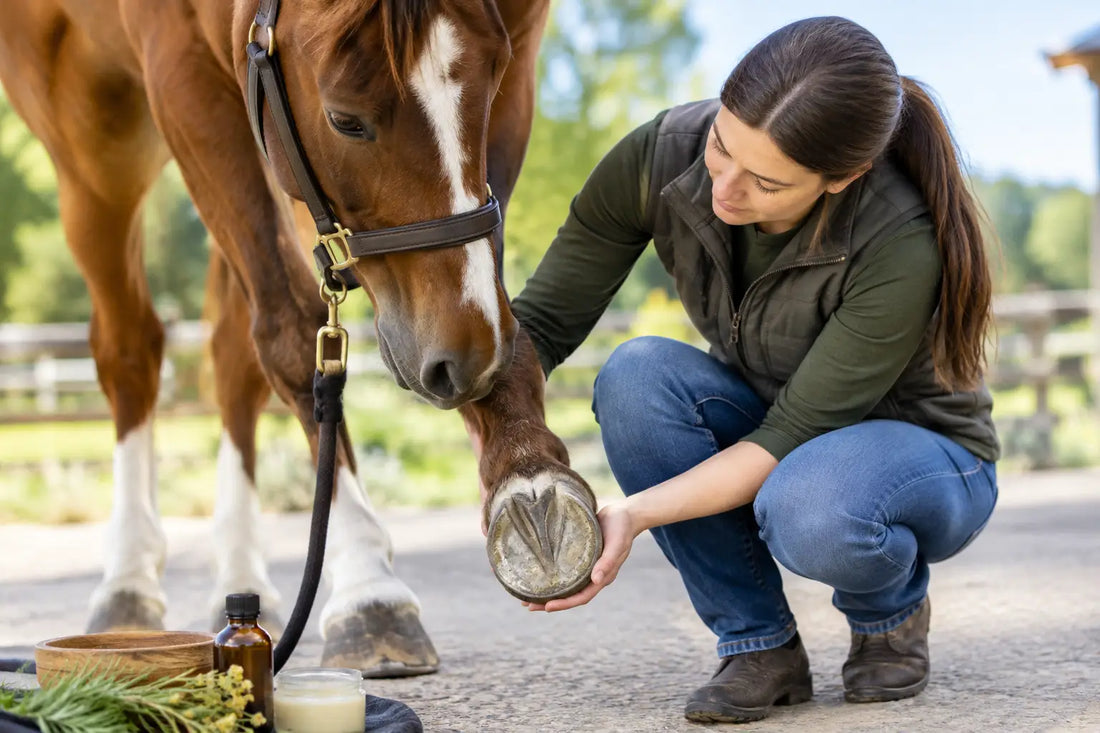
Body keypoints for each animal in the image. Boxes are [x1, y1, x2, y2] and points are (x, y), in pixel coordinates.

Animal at [0, 0, 597, 678]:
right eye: (345, 121)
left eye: (490, 83)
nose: (464, 357)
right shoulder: (182, 69)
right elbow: (288, 329)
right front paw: (368, 586)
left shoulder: (517, 53)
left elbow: (491, 261)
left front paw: (526, 472)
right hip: (93, 139)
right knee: (130, 346)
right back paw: (128, 582)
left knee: (232, 357)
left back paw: (236, 574)